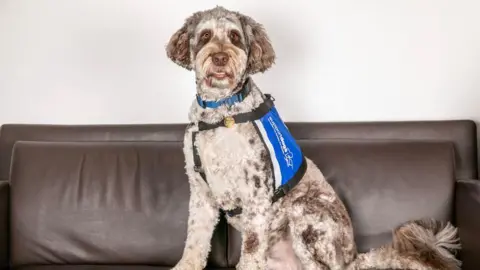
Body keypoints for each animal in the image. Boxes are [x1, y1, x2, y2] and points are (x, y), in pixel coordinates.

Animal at [165, 6, 462, 270]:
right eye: (205, 36)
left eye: (235, 37)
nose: (219, 58)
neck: (220, 112)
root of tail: (353, 258)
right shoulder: (201, 193)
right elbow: (195, 240)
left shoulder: (256, 195)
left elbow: (250, 251)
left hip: (305, 214)